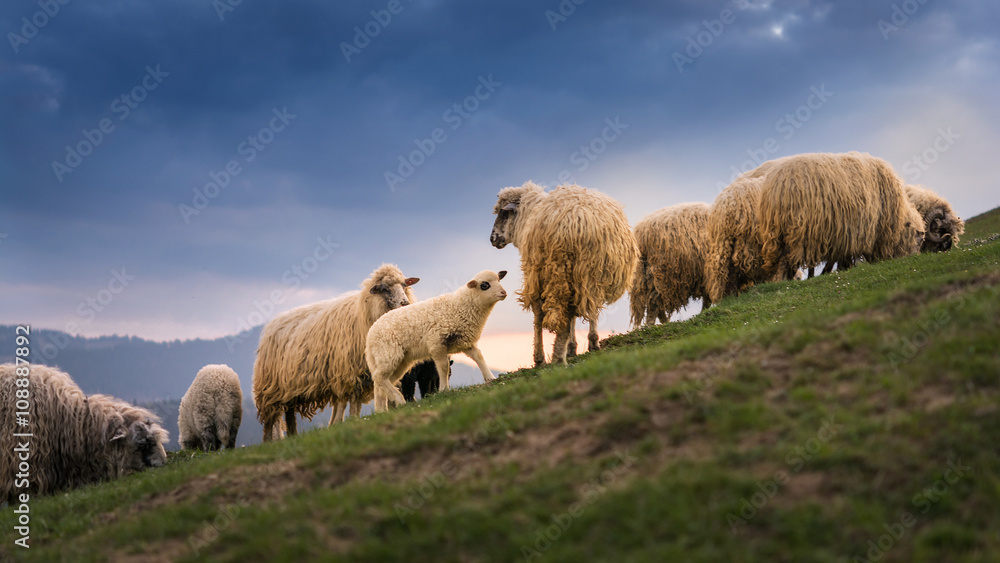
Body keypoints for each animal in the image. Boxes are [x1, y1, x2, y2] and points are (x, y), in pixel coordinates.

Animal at [252, 264, 419, 441]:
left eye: (404, 285)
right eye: (385, 289)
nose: (405, 303)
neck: (362, 314)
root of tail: (273, 324)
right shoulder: (351, 372)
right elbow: (354, 400)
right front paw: (354, 419)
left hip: (289, 386)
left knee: (289, 413)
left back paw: (293, 435)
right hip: (271, 387)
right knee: (270, 419)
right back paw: (269, 441)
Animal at [366, 270, 507, 413]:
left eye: (499, 280)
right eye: (485, 285)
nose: (504, 293)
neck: (461, 306)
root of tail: (370, 336)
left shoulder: (465, 341)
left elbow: (479, 357)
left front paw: (490, 378)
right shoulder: (437, 342)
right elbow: (444, 367)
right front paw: (444, 389)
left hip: (400, 360)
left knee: (382, 382)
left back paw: (381, 410)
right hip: (389, 354)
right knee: (379, 377)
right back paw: (399, 400)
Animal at [490, 182, 638, 365]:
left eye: (504, 213)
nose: (492, 239)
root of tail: (572, 223)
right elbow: (587, 310)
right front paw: (582, 345)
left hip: (549, 270)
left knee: (546, 313)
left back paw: (548, 357)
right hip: (584, 271)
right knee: (577, 308)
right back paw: (572, 350)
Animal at [758, 152, 924, 280]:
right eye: (919, 239)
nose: (915, 257)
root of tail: (775, 185)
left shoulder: (842, 235)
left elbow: (838, 258)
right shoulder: (868, 232)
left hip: (780, 232)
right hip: (796, 231)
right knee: (785, 260)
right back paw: (781, 281)